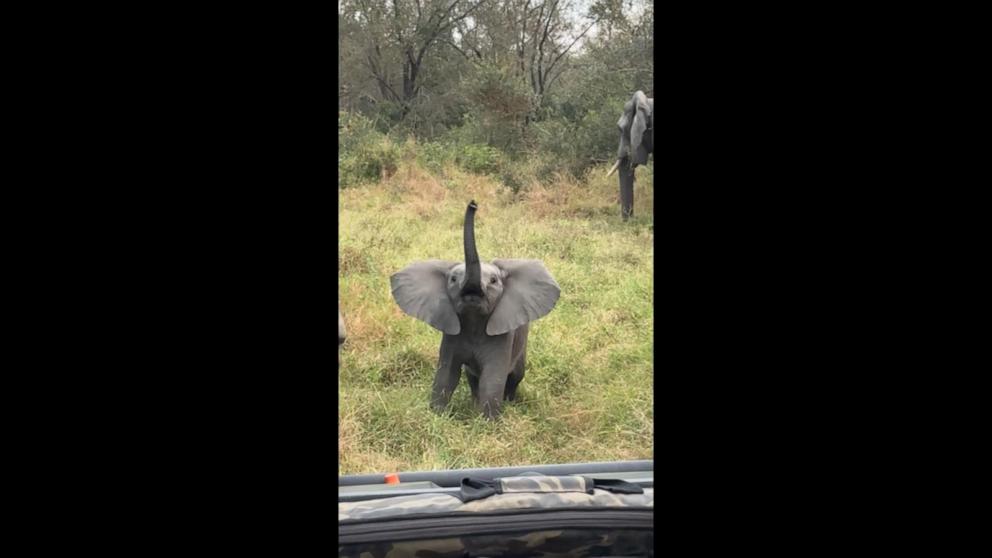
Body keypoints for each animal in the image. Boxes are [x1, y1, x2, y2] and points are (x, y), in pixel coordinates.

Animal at [390, 201, 560, 420]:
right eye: (453, 279)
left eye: (494, 281)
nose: (473, 204)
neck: (474, 319)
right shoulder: (452, 331)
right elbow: (447, 374)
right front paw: (437, 417)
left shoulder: (503, 335)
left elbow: (493, 377)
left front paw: (487, 423)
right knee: (473, 377)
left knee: (515, 375)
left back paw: (508, 404)